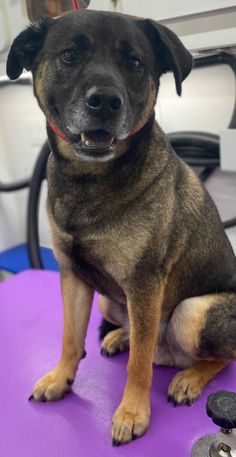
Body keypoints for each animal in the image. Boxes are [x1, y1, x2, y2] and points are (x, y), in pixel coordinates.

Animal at [6, 9, 236, 446]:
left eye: (135, 63)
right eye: (69, 55)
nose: (105, 102)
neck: (90, 179)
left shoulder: (144, 284)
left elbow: (139, 366)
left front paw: (132, 413)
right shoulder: (74, 275)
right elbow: (70, 337)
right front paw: (60, 379)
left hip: (192, 311)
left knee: (214, 356)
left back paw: (189, 378)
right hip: (109, 300)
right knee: (139, 335)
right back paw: (119, 336)